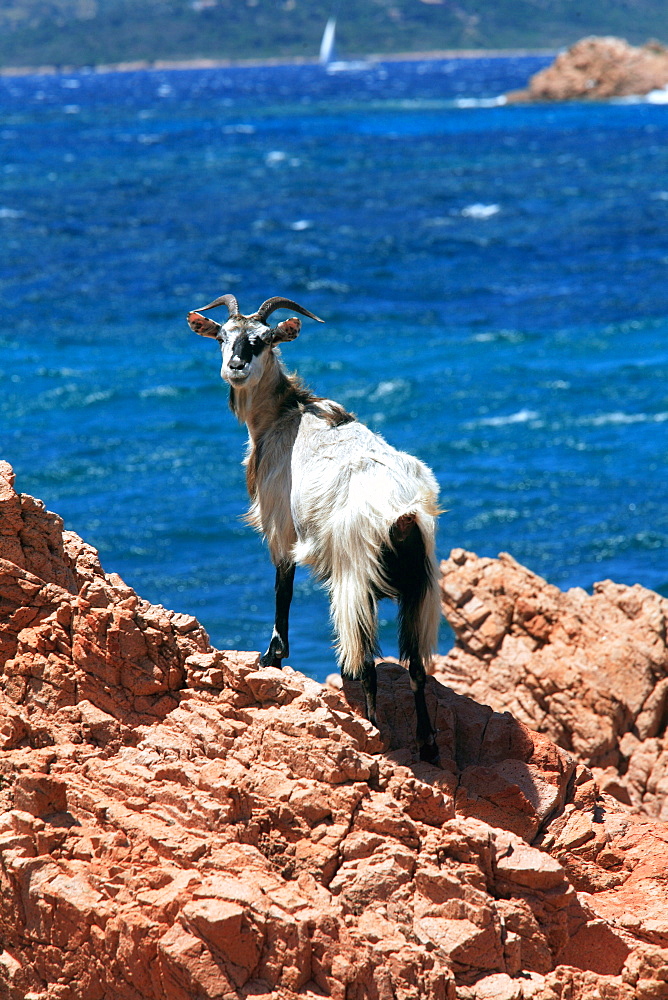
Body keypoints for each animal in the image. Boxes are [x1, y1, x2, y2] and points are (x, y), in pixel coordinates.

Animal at [185, 292, 440, 760]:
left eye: (263, 340)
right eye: (222, 337)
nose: (235, 365)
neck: (286, 415)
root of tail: (402, 514)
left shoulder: (280, 528)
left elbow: (282, 588)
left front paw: (272, 656)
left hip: (355, 581)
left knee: (366, 665)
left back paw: (373, 733)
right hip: (421, 589)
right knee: (415, 668)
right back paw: (427, 746)